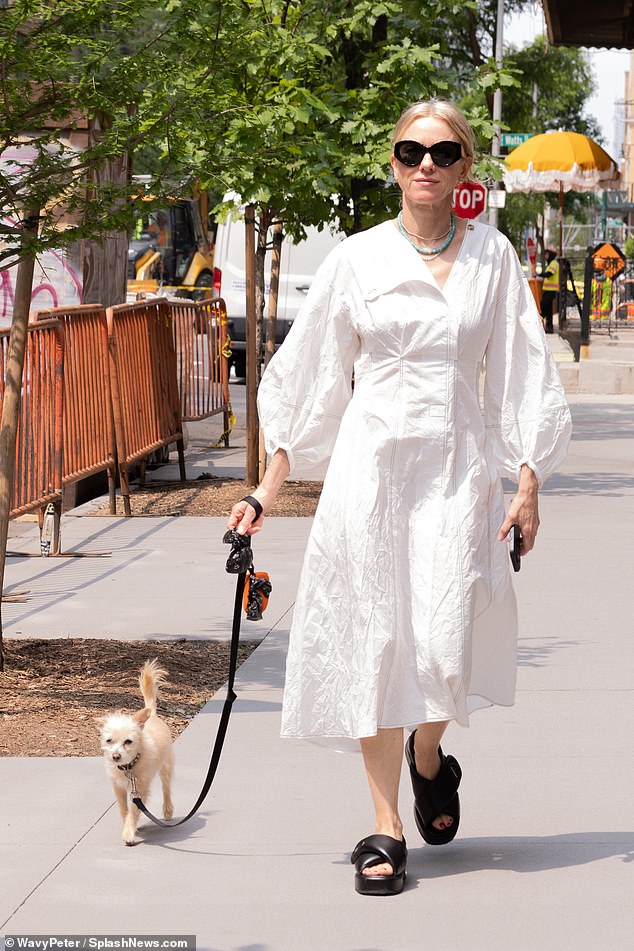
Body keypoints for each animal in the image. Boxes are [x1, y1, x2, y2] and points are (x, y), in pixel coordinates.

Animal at [97, 660, 174, 844]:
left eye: (128, 741)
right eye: (109, 741)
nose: (115, 756)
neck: (129, 766)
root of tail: (152, 714)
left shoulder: (140, 789)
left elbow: (133, 810)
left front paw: (129, 832)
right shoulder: (117, 787)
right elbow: (123, 809)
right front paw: (129, 824)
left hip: (166, 767)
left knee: (166, 788)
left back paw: (168, 810)